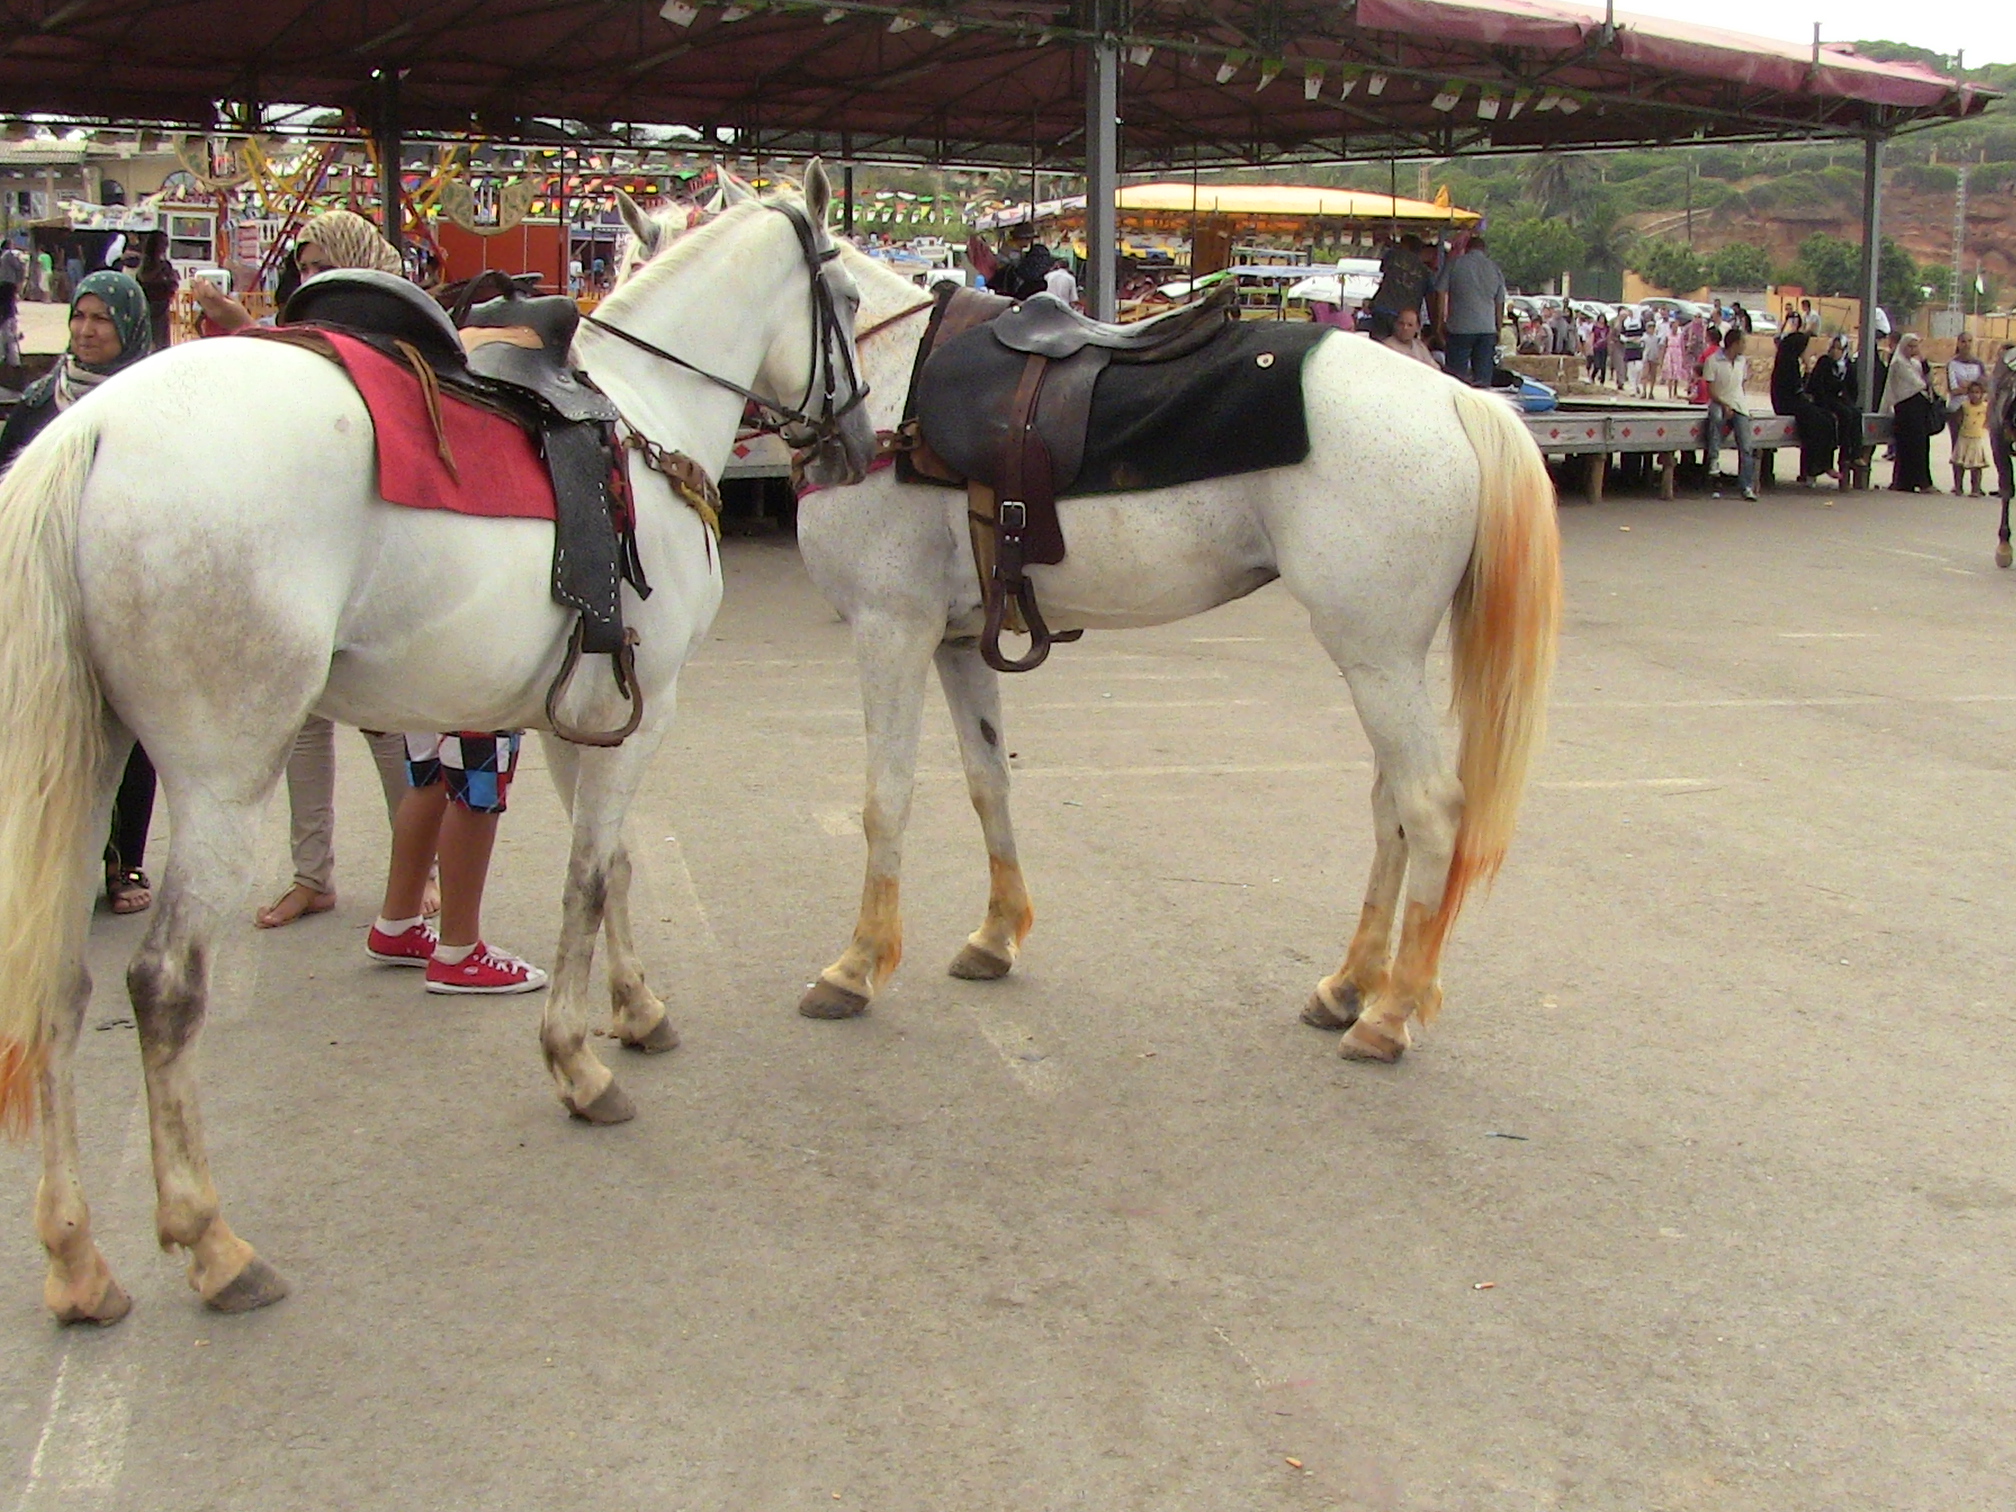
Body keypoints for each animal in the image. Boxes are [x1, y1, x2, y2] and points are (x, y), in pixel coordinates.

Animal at [0, 166, 875, 1324]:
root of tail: (91, 431)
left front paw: (635, 1011)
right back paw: (211, 1242)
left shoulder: (585, 719)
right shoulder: (649, 710)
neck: (643, 422)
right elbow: (586, 879)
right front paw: (576, 1064)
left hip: (95, 761)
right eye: (852, 300)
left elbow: (617, 867)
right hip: (221, 778)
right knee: (163, 987)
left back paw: (74, 1258)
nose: (859, 447)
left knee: (54, 984)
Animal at [793, 246, 1561, 1059]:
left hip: (1377, 661)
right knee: (1393, 809)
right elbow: (987, 781)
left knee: (1430, 808)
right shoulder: (958, 642)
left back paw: (1389, 1015)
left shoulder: (892, 630)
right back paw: (1349, 987)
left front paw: (857, 966)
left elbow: (886, 800)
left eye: (844, 301)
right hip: (1384, 666)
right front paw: (996, 936)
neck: (895, 385)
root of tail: (1453, 398)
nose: (844, 449)